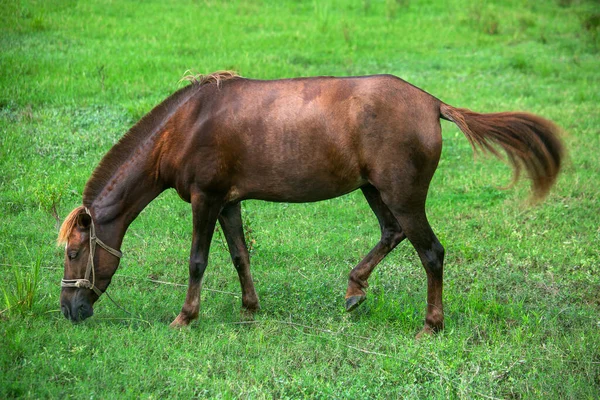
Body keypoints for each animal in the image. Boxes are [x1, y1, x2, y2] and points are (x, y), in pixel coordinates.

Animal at [56, 72, 564, 338]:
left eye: (74, 252)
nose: (68, 310)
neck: (186, 125)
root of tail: (432, 103)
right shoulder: (228, 202)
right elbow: (240, 255)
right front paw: (249, 308)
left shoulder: (206, 199)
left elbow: (198, 260)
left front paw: (185, 317)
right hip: (375, 191)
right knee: (392, 233)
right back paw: (355, 288)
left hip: (402, 196)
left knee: (431, 253)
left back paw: (430, 325)